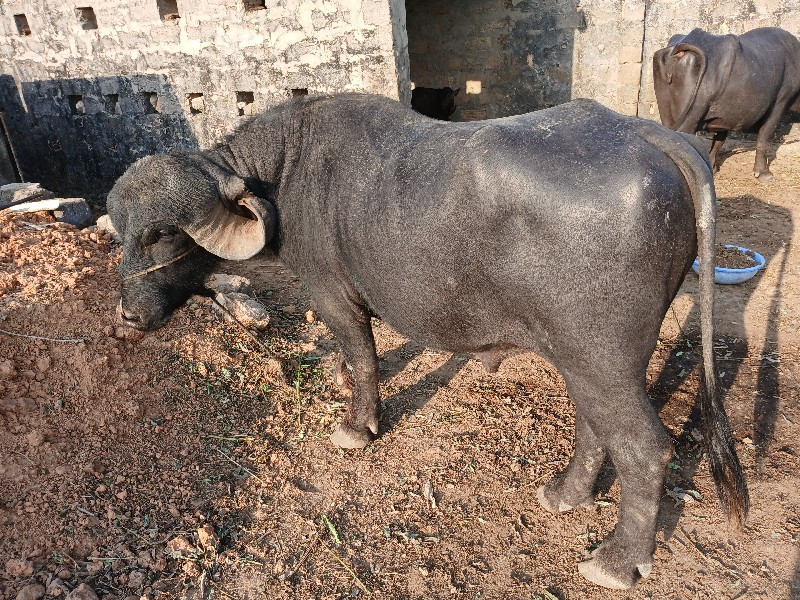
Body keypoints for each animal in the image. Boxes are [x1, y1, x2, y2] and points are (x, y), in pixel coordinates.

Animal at [108, 95, 752, 592]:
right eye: (122, 232)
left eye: (161, 234)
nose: (128, 314)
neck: (286, 176)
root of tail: (646, 133)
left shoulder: (332, 293)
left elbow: (363, 356)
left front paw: (357, 425)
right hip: (587, 357)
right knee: (598, 425)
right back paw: (565, 494)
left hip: (601, 356)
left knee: (644, 446)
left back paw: (618, 562)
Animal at [652, 27, 800, 180]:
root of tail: (676, 49)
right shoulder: (779, 104)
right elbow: (763, 139)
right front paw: (763, 173)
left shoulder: (724, 117)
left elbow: (719, 141)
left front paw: (712, 167)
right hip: (691, 117)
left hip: (666, 111)